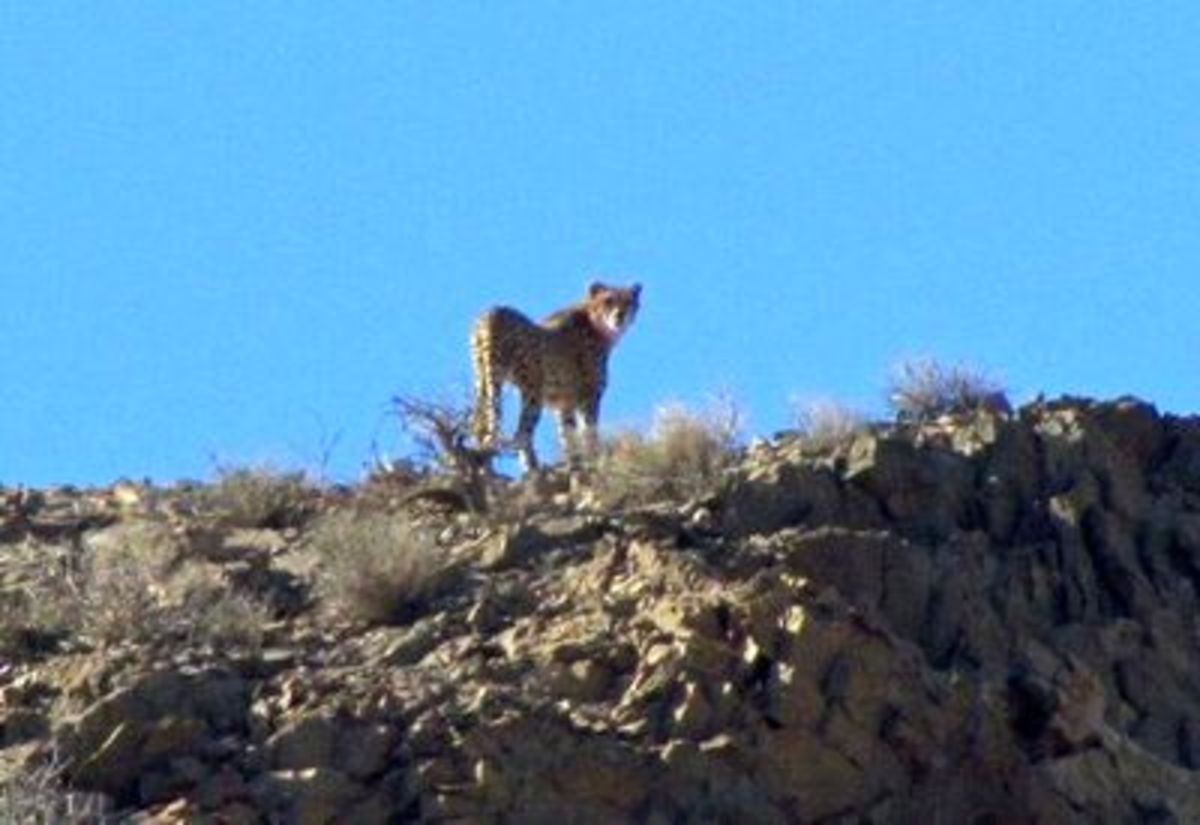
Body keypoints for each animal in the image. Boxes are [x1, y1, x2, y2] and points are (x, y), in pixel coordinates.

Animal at [470, 281, 643, 470]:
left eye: (627, 301)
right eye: (608, 301)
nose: (620, 315)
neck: (593, 321)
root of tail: (493, 311)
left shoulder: (564, 403)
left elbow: (567, 436)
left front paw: (574, 463)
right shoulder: (588, 397)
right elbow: (589, 431)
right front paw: (592, 459)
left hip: (482, 382)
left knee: (481, 427)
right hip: (532, 391)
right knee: (521, 433)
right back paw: (532, 469)